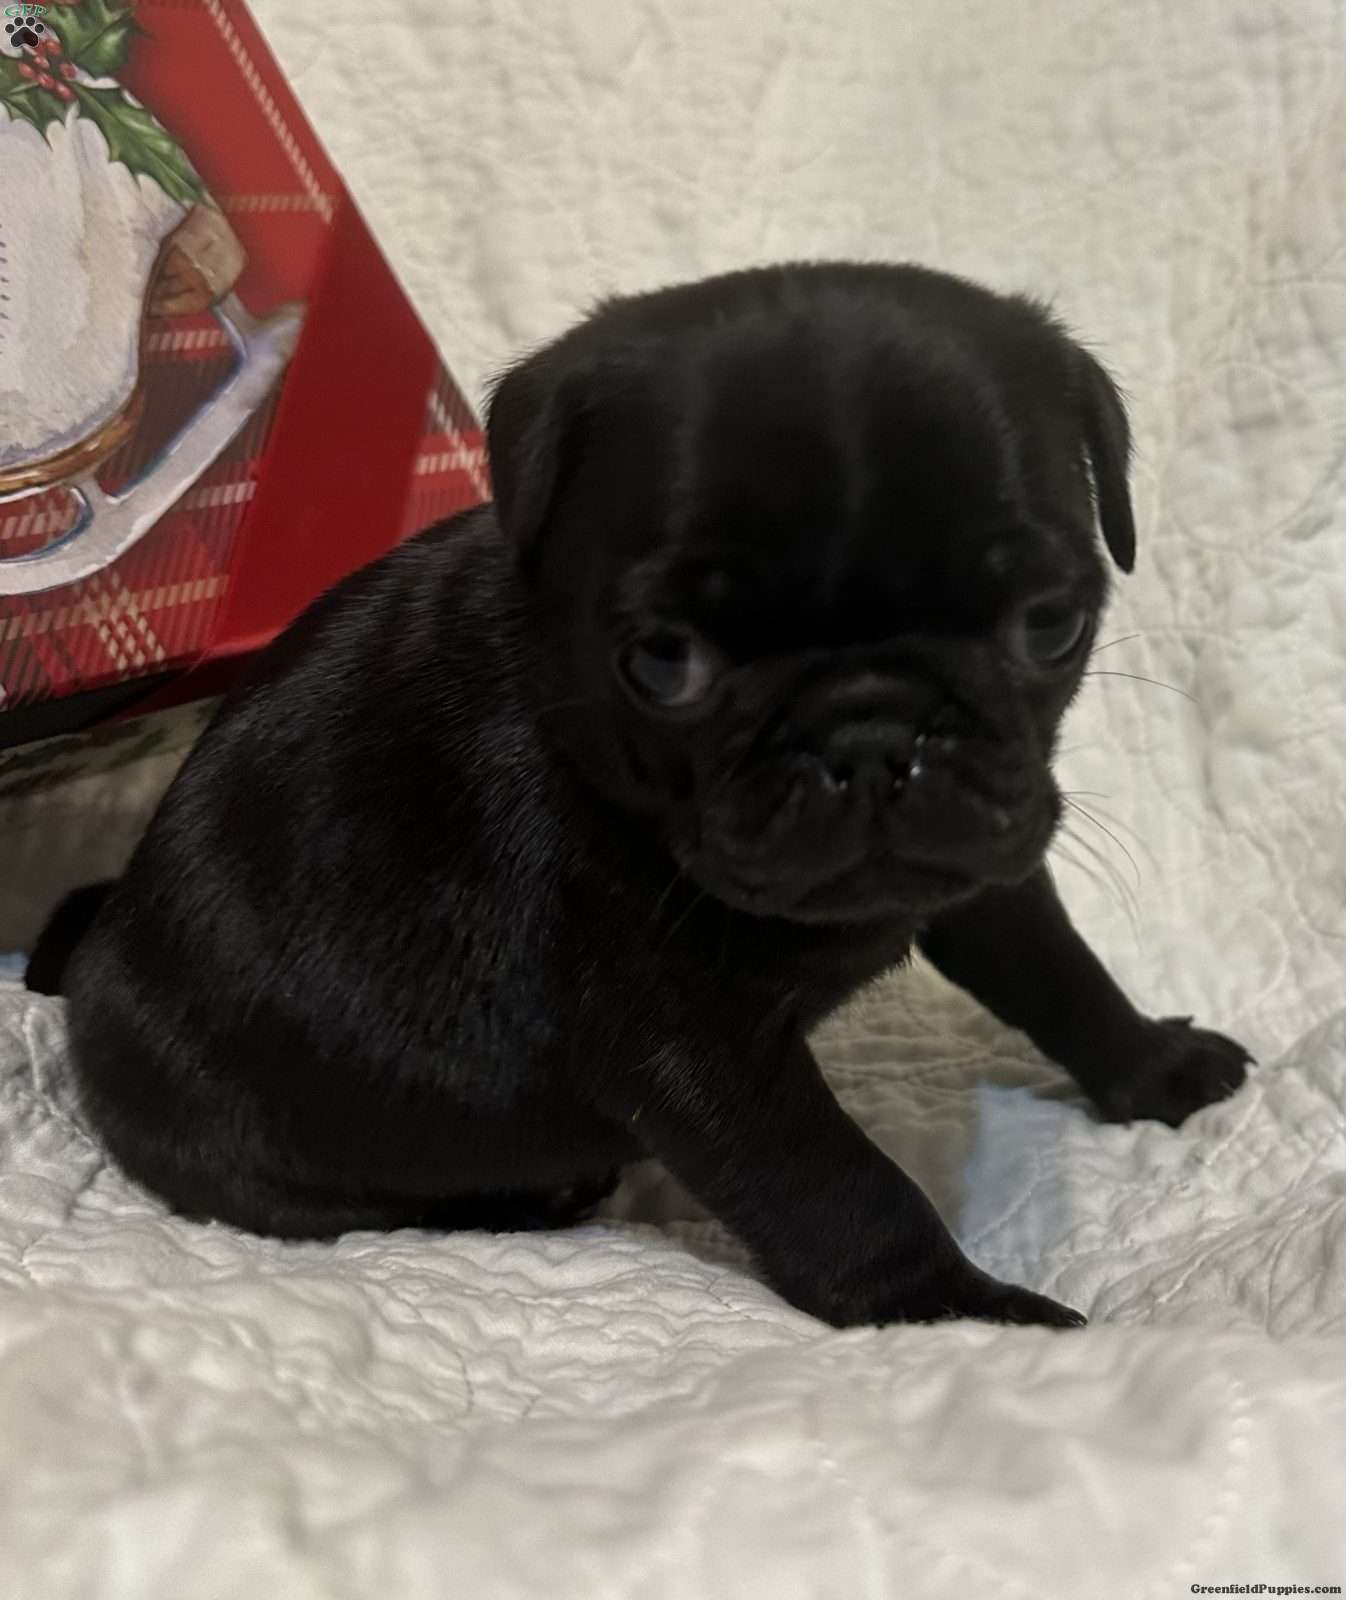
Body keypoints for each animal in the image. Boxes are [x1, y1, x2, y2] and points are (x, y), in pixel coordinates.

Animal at [30, 263, 1251, 1329]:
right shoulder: (697, 1052)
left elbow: (1062, 974)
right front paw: (958, 1314)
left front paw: (1156, 1067)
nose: (868, 734)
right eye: (663, 662)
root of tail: (104, 937)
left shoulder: (981, 869)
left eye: (1050, 623)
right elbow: (842, 1187)